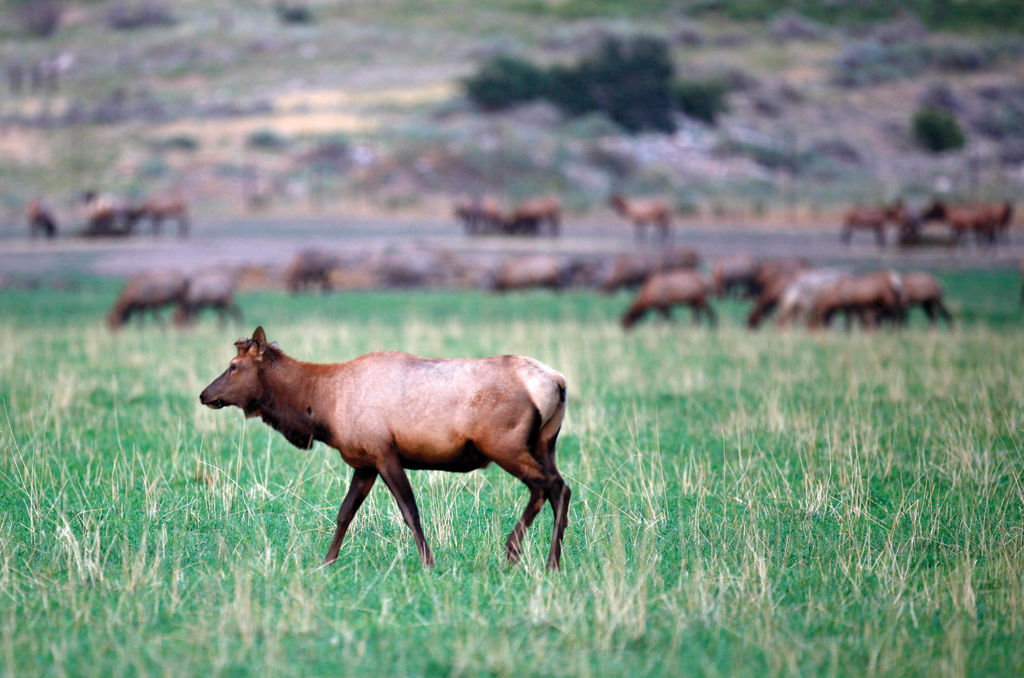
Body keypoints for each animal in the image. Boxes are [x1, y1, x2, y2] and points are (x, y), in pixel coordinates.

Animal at [199, 327, 571, 569]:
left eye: (233, 366)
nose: (204, 394)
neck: (321, 406)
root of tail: (556, 381)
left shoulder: (383, 452)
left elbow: (409, 511)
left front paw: (428, 562)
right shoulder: (364, 462)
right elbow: (345, 512)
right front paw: (327, 561)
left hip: (504, 444)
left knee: (546, 486)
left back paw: (513, 551)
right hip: (544, 443)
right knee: (561, 487)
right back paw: (552, 561)